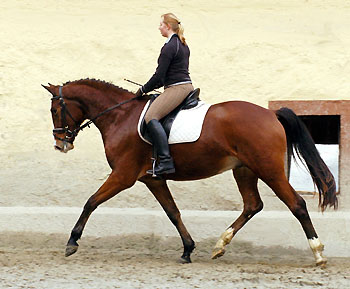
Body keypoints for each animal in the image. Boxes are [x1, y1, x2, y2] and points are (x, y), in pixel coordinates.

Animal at [42, 78, 338, 266]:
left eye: (55, 109)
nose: (60, 144)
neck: (120, 116)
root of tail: (271, 114)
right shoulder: (151, 179)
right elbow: (173, 213)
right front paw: (187, 250)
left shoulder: (123, 176)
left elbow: (91, 201)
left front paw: (72, 242)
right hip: (244, 170)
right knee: (253, 205)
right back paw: (220, 245)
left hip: (269, 170)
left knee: (296, 204)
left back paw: (318, 253)